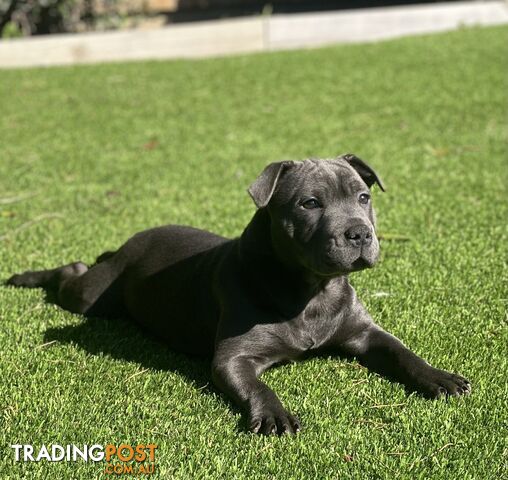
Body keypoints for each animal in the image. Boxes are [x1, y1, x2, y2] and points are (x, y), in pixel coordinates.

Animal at [7, 154, 470, 436]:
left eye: (363, 196)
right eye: (310, 203)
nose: (359, 233)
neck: (311, 290)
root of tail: (129, 241)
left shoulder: (364, 333)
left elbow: (401, 352)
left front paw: (439, 377)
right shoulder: (233, 357)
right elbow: (257, 386)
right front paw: (275, 414)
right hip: (93, 297)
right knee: (73, 273)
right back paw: (26, 275)